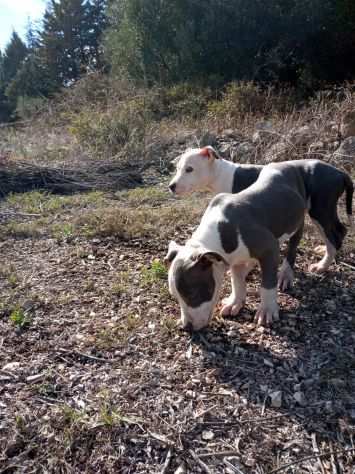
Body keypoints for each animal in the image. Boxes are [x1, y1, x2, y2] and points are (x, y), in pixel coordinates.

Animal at [168, 161, 348, 332]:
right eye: (175, 296)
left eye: (192, 294)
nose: (186, 327)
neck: (218, 235)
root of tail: (338, 171)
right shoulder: (234, 258)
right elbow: (237, 279)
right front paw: (235, 302)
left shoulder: (269, 248)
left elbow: (267, 285)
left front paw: (267, 310)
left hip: (320, 210)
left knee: (327, 239)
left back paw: (313, 267)